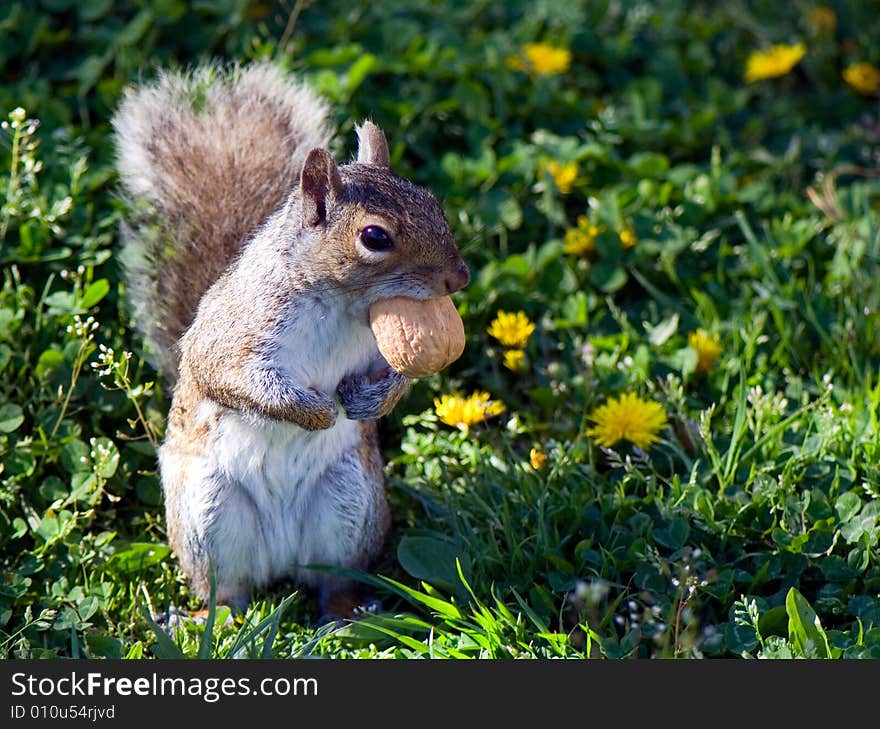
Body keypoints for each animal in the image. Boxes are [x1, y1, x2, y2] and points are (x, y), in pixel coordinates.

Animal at [112, 62, 470, 616]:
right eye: (374, 237)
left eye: (432, 202)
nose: (460, 277)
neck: (341, 304)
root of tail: (280, 563)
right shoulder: (235, 332)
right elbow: (228, 376)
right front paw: (313, 412)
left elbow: (396, 375)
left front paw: (370, 401)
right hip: (207, 513)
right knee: (225, 588)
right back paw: (213, 620)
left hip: (350, 504)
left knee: (332, 581)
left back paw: (346, 615)